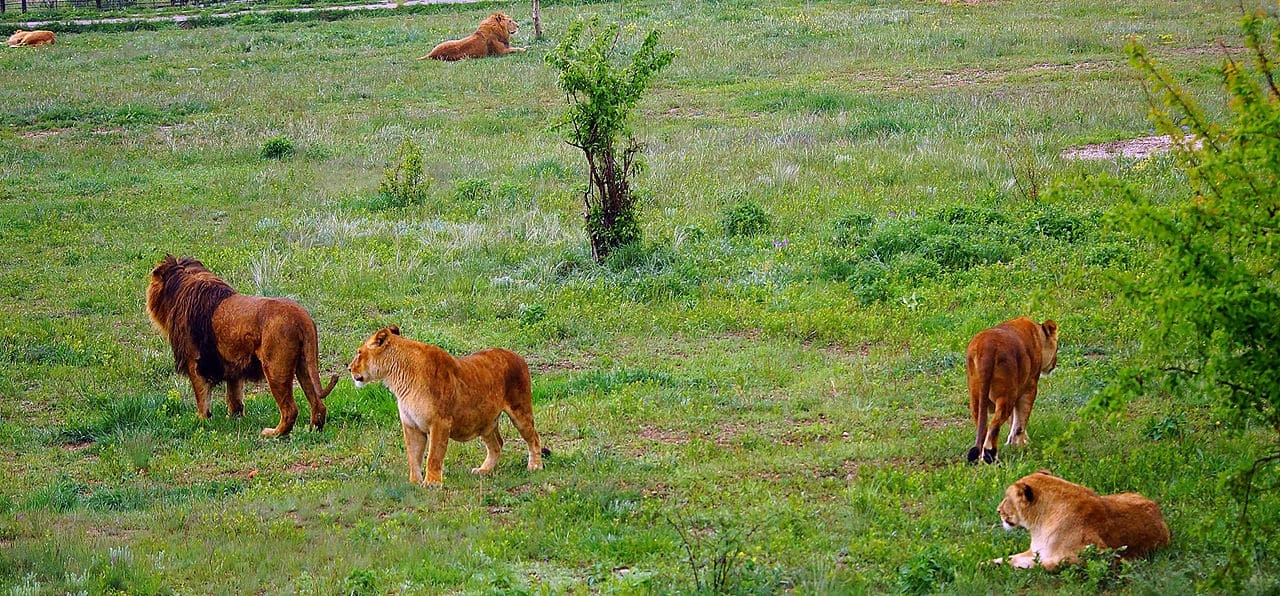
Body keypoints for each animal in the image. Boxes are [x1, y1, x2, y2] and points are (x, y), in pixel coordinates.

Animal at [145, 253, 337, 434]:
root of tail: (301, 315)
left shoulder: (195, 363)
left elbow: (202, 398)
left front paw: (201, 422)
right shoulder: (232, 365)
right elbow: (234, 397)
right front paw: (234, 418)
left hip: (275, 368)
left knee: (290, 410)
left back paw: (272, 433)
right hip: (304, 365)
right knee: (319, 405)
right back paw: (312, 430)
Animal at [348, 327, 547, 486]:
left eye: (359, 353)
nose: (349, 368)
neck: (399, 379)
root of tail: (518, 355)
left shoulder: (440, 422)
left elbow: (433, 456)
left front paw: (431, 483)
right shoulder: (411, 426)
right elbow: (413, 457)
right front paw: (414, 482)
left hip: (520, 411)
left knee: (534, 438)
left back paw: (535, 466)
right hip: (485, 421)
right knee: (497, 444)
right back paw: (484, 470)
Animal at [988, 470, 1172, 572]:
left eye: (1007, 498)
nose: (997, 510)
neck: (1039, 524)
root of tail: (1158, 511)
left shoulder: (1100, 555)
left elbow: (1046, 564)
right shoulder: (1035, 551)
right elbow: (1009, 557)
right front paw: (988, 563)